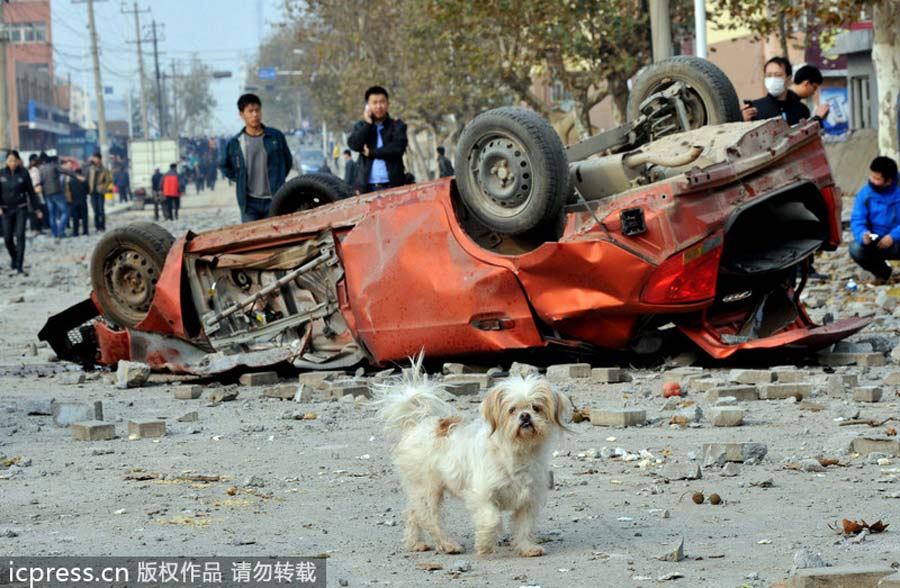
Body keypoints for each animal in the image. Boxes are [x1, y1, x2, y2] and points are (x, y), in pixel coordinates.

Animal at [372, 362, 568, 556]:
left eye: (536, 408)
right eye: (512, 410)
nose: (525, 415)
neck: (517, 451)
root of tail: (417, 424)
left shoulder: (529, 498)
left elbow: (524, 526)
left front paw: (526, 547)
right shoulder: (481, 494)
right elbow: (492, 519)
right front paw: (484, 544)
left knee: (413, 513)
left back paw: (415, 543)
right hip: (428, 490)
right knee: (429, 518)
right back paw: (448, 545)